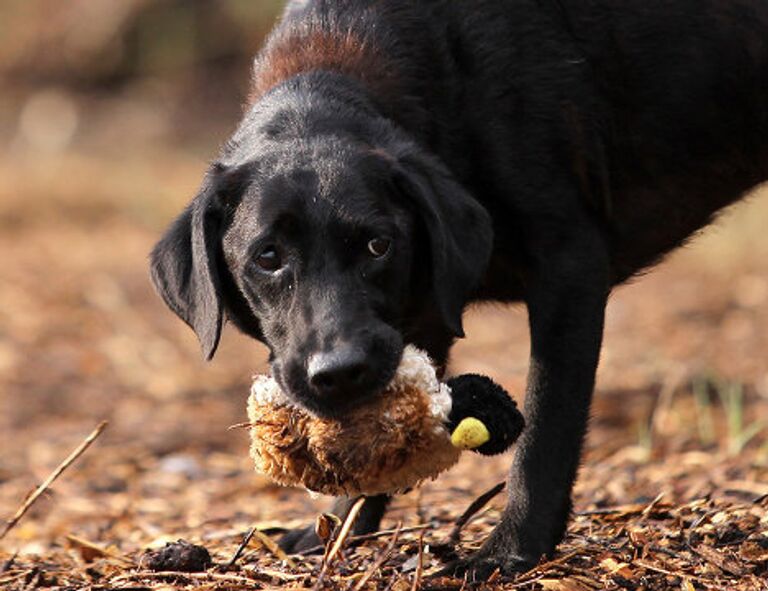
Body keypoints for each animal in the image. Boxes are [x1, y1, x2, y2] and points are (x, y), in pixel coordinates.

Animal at [150, 0, 768, 580]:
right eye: (268, 257)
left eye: (378, 245)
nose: (340, 372)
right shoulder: (421, 316)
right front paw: (339, 528)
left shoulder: (571, 268)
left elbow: (544, 433)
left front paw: (511, 550)